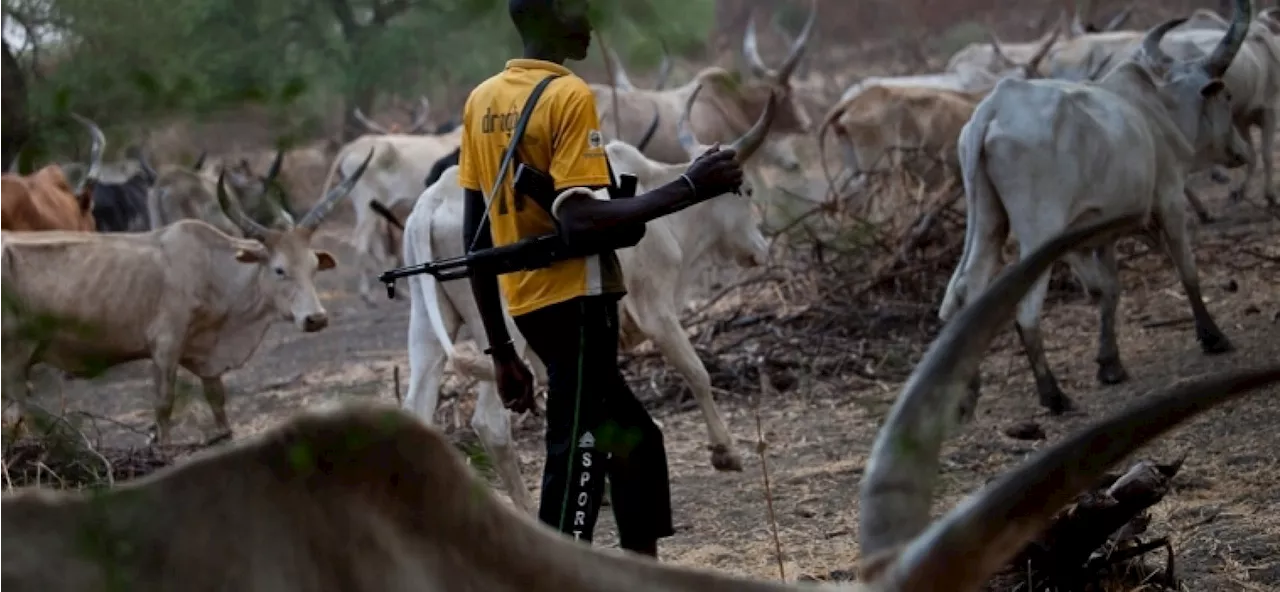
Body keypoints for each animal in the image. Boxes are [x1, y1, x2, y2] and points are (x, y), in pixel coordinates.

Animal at [0, 148, 373, 443]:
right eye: (279, 269)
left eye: (314, 266)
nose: (316, 318)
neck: (212, 269)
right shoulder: (165, 345)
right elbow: (163, 406)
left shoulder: (207, 353)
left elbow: (217, 398)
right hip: (13, 360)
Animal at [942, 2, 1249, 415]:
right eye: (1227, 97)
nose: (1239, 152)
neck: (1157, 113)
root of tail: (993, 108)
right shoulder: (1170, 199)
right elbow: (1187, 269)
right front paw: (1213, 336)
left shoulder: (1102, 234)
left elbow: (1109, 290)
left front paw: (1110, 364)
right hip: (1039, 233)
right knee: (1025, 310)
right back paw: (1053, 395)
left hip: (989, 221)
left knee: (968, 288)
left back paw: (966, 395)